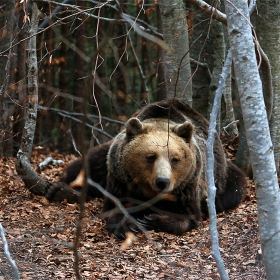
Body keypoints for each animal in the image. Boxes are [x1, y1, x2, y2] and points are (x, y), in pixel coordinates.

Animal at [47, 98, 246, 238]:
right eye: (151, 157)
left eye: (175, 159)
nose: (163, 181)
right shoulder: (120, 179)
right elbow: (114, 206)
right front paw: (125, 225)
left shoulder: (190, 182)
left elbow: (188, 215)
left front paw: (152, 219)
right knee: (87, 165)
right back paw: (60, 189)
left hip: (222, 175)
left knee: (232, 191)